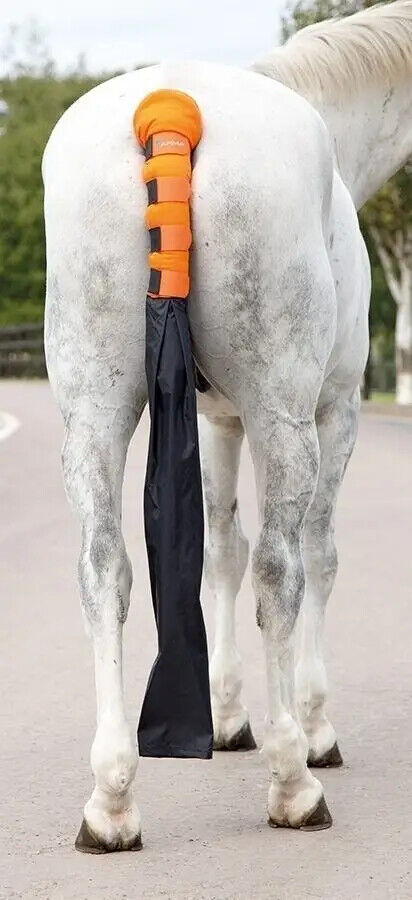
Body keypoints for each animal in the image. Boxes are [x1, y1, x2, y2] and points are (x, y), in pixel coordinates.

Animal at [43, 1, 412, 852]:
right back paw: (294, 783)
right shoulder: (331, 409)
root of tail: (172, 110)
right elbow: (314, 557)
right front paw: (310, 726)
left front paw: (228, 714)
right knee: (284, 568)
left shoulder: (215, 421)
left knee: (103, 569)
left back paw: (112, 800)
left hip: (94, 411)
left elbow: (217, 551)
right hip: (286, 418)